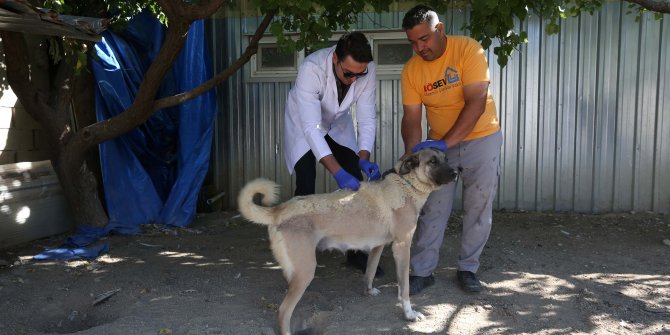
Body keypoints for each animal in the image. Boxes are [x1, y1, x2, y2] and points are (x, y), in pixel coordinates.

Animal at [238, 150, 462, 335]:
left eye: (446, 158)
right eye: (432, 161)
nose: (457, 172)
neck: (406, 184)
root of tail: (279, 210)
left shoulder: (378, 246)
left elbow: (370, 272)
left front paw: (368, 291)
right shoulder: (402, 246)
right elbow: (404, 288)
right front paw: (409, 314)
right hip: (306, 270)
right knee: (283, 311)